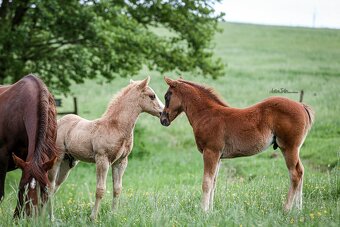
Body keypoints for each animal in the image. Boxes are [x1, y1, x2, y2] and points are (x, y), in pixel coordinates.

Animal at [48, 76, 163, 220]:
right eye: (152, 96)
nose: (164, 113)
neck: (115, 127)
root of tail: (60, 121)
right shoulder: (102, 160)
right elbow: (100, 189)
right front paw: (93, 218)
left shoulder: (121, 162)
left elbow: (117, 189)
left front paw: (113, 215)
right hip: (57, 158)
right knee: (50, 186)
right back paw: (49, 218)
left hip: (67, 163)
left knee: (55, 186)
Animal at [161, 77, 314, 213]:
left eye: (167, 96)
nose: (163, 119)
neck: (206, 114)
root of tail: (301, 106)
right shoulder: (218, 156)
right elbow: (214, 183)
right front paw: (210, 211)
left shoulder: (210, 152)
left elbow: (207, 182)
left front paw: (203, 211)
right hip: (294, 149)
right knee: (301, 171)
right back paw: (298, 210)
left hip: (289, 148)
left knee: (295, 174)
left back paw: (286, 210)